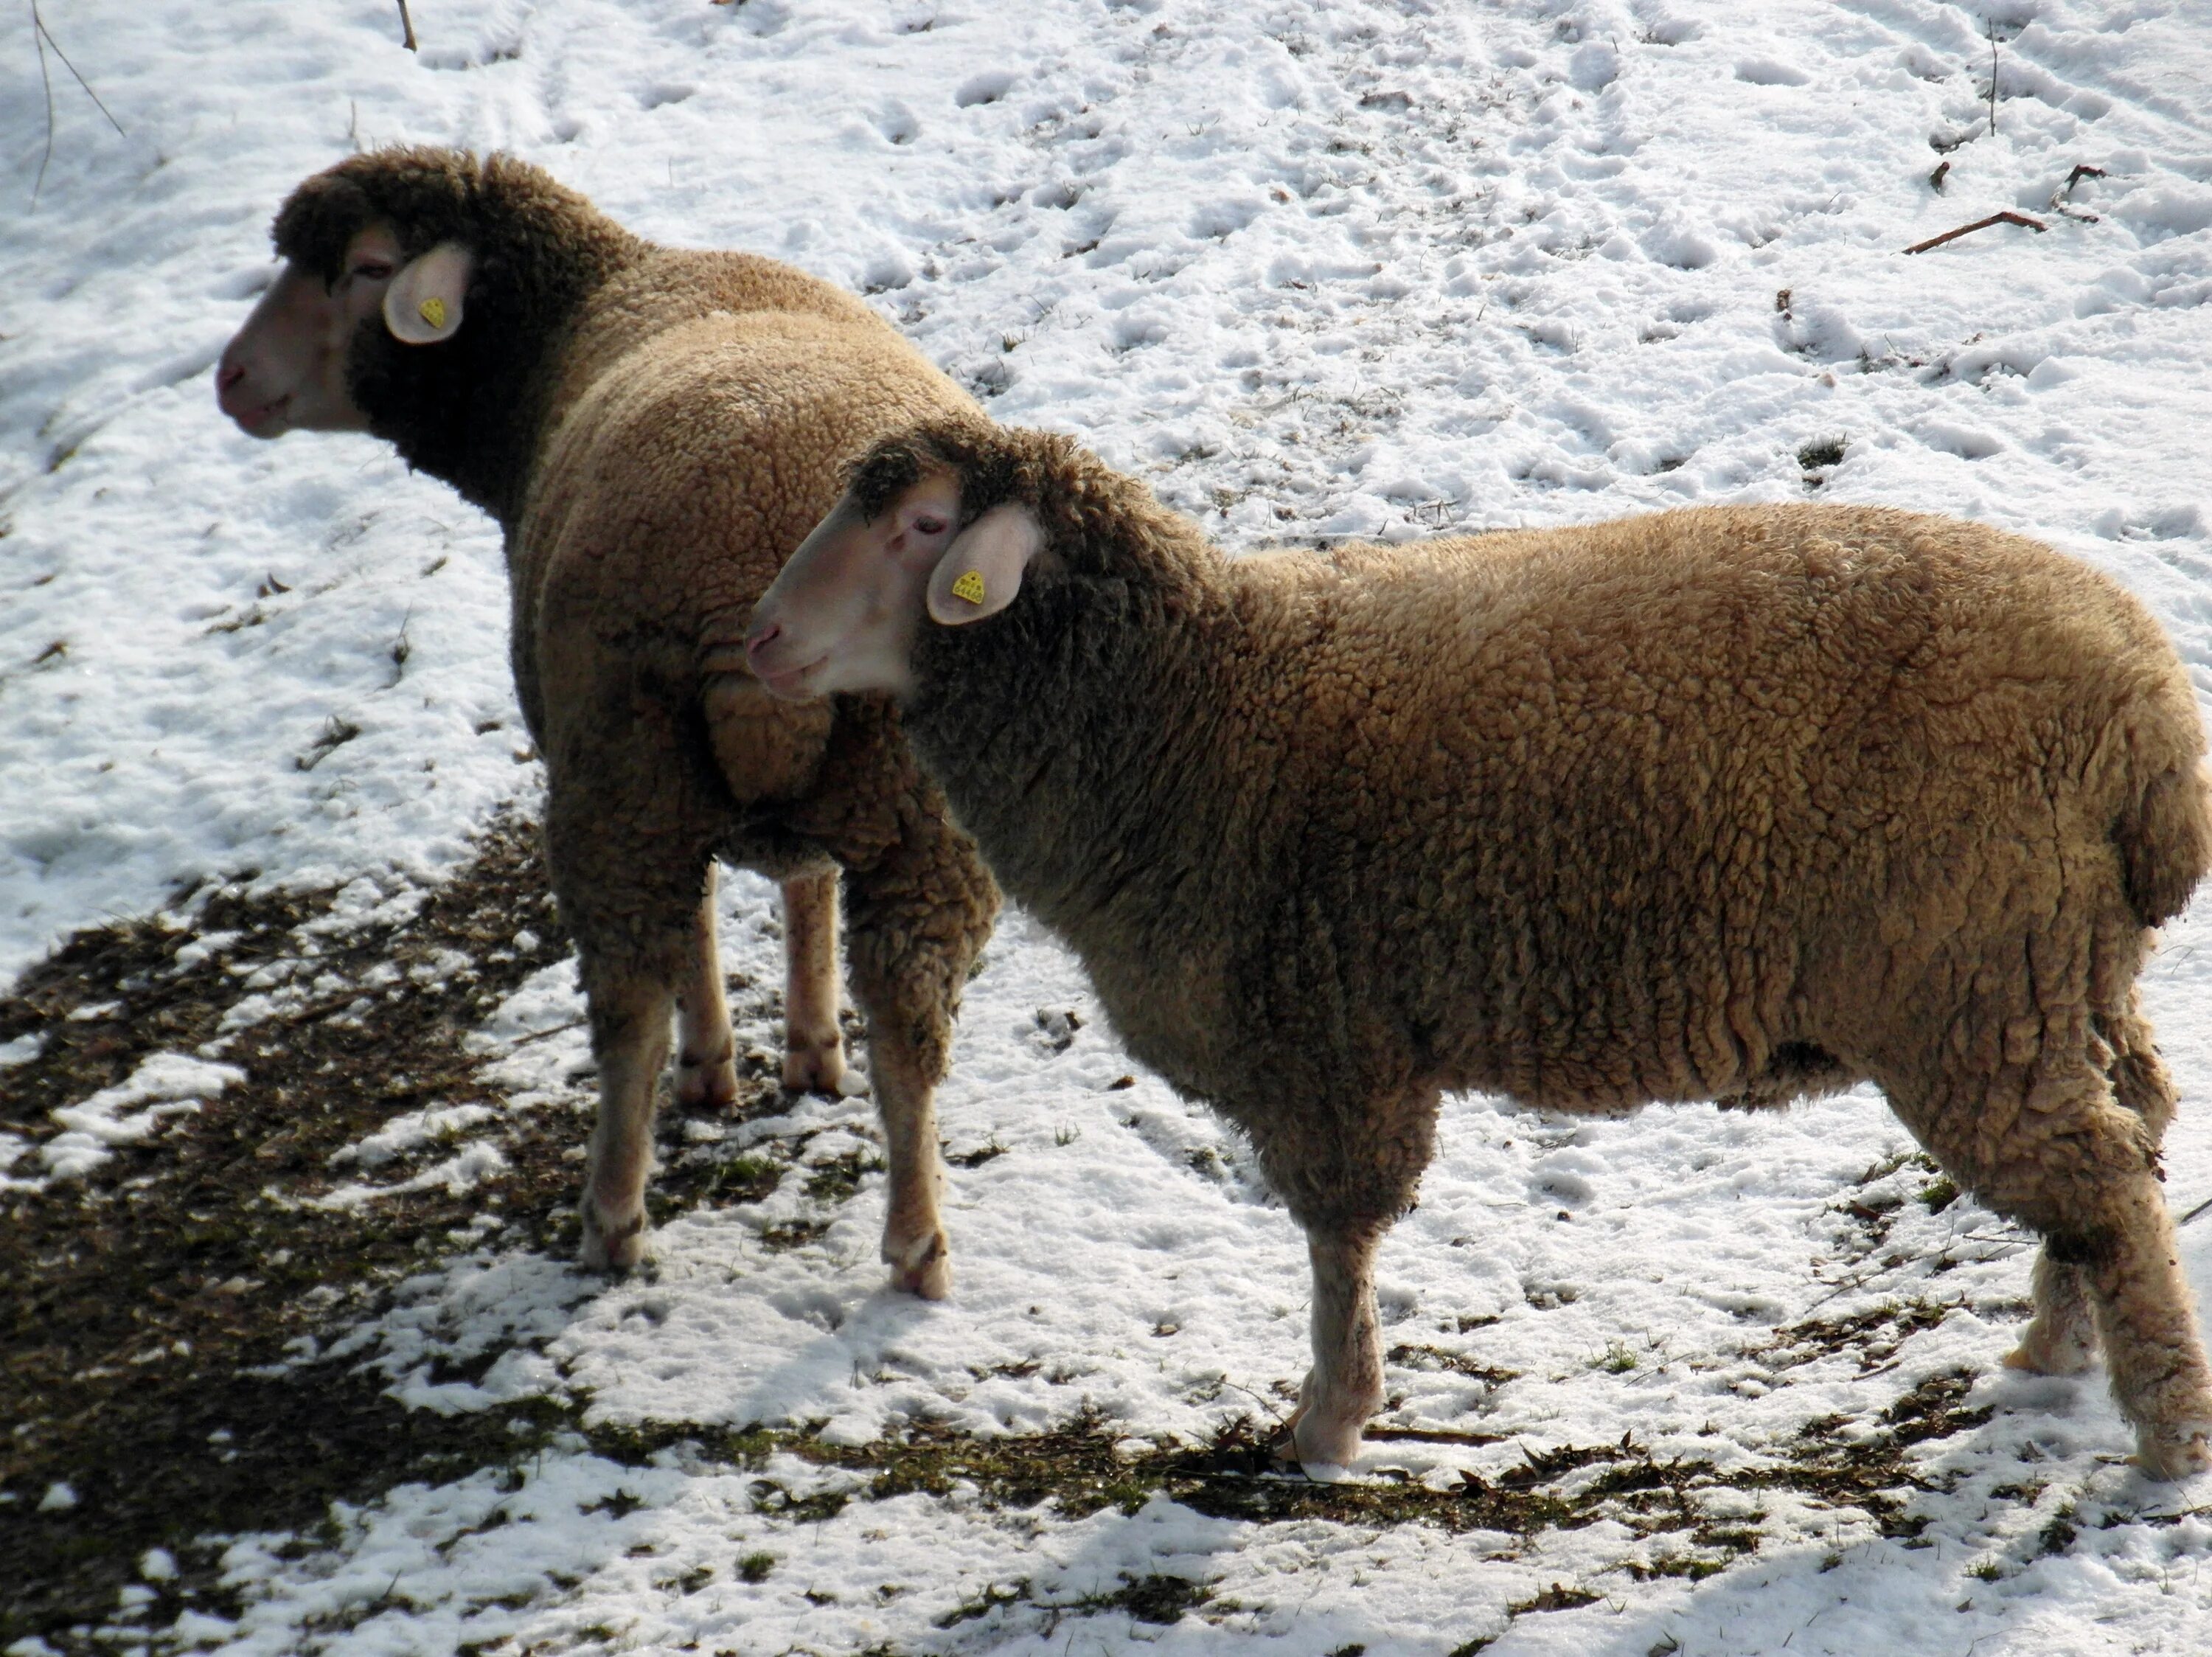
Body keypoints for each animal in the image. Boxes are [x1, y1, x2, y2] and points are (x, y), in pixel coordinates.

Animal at [211, 145, 1000, 1283]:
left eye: (365, 268)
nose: (229, 378)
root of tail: (752, 590)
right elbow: (803, 885)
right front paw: (812, 1051)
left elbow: (702, 931)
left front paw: (718, 1068)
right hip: (918, 817)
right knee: (910, 1018)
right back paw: (917, 1241)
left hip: (623, 779)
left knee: (631, 1005)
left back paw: (614, 1220)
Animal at [739, 414, 2212, 1478]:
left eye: (923, 527)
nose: (760, 638)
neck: (1192, 705)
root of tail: (2150, 726)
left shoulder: (1327, 1042)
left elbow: (1338, 1236)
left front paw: (1327, 1421)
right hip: (2061, 964)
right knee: (2128, 1131)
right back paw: (2055, 1342)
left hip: (1968, 980)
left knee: (2100, 1177)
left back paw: (2165, 1432)